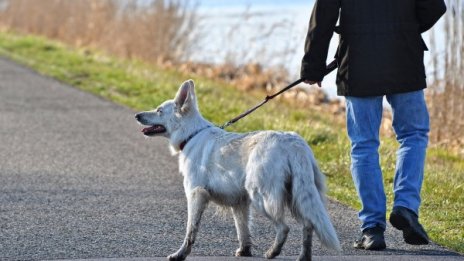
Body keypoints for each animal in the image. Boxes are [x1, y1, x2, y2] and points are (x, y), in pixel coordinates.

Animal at [134, 79, 340, 260]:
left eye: (159, 110)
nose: (137, 116)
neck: (191, 134)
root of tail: (293, 142)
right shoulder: (240, 203)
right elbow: (243, 230)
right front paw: (245, 251)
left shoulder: (196, 195)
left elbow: (190, 231)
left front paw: (180, 254)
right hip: (297, 196)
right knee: (308, 225)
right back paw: (303, 256)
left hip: (262, 196)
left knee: (284, 227)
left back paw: (272, 252)